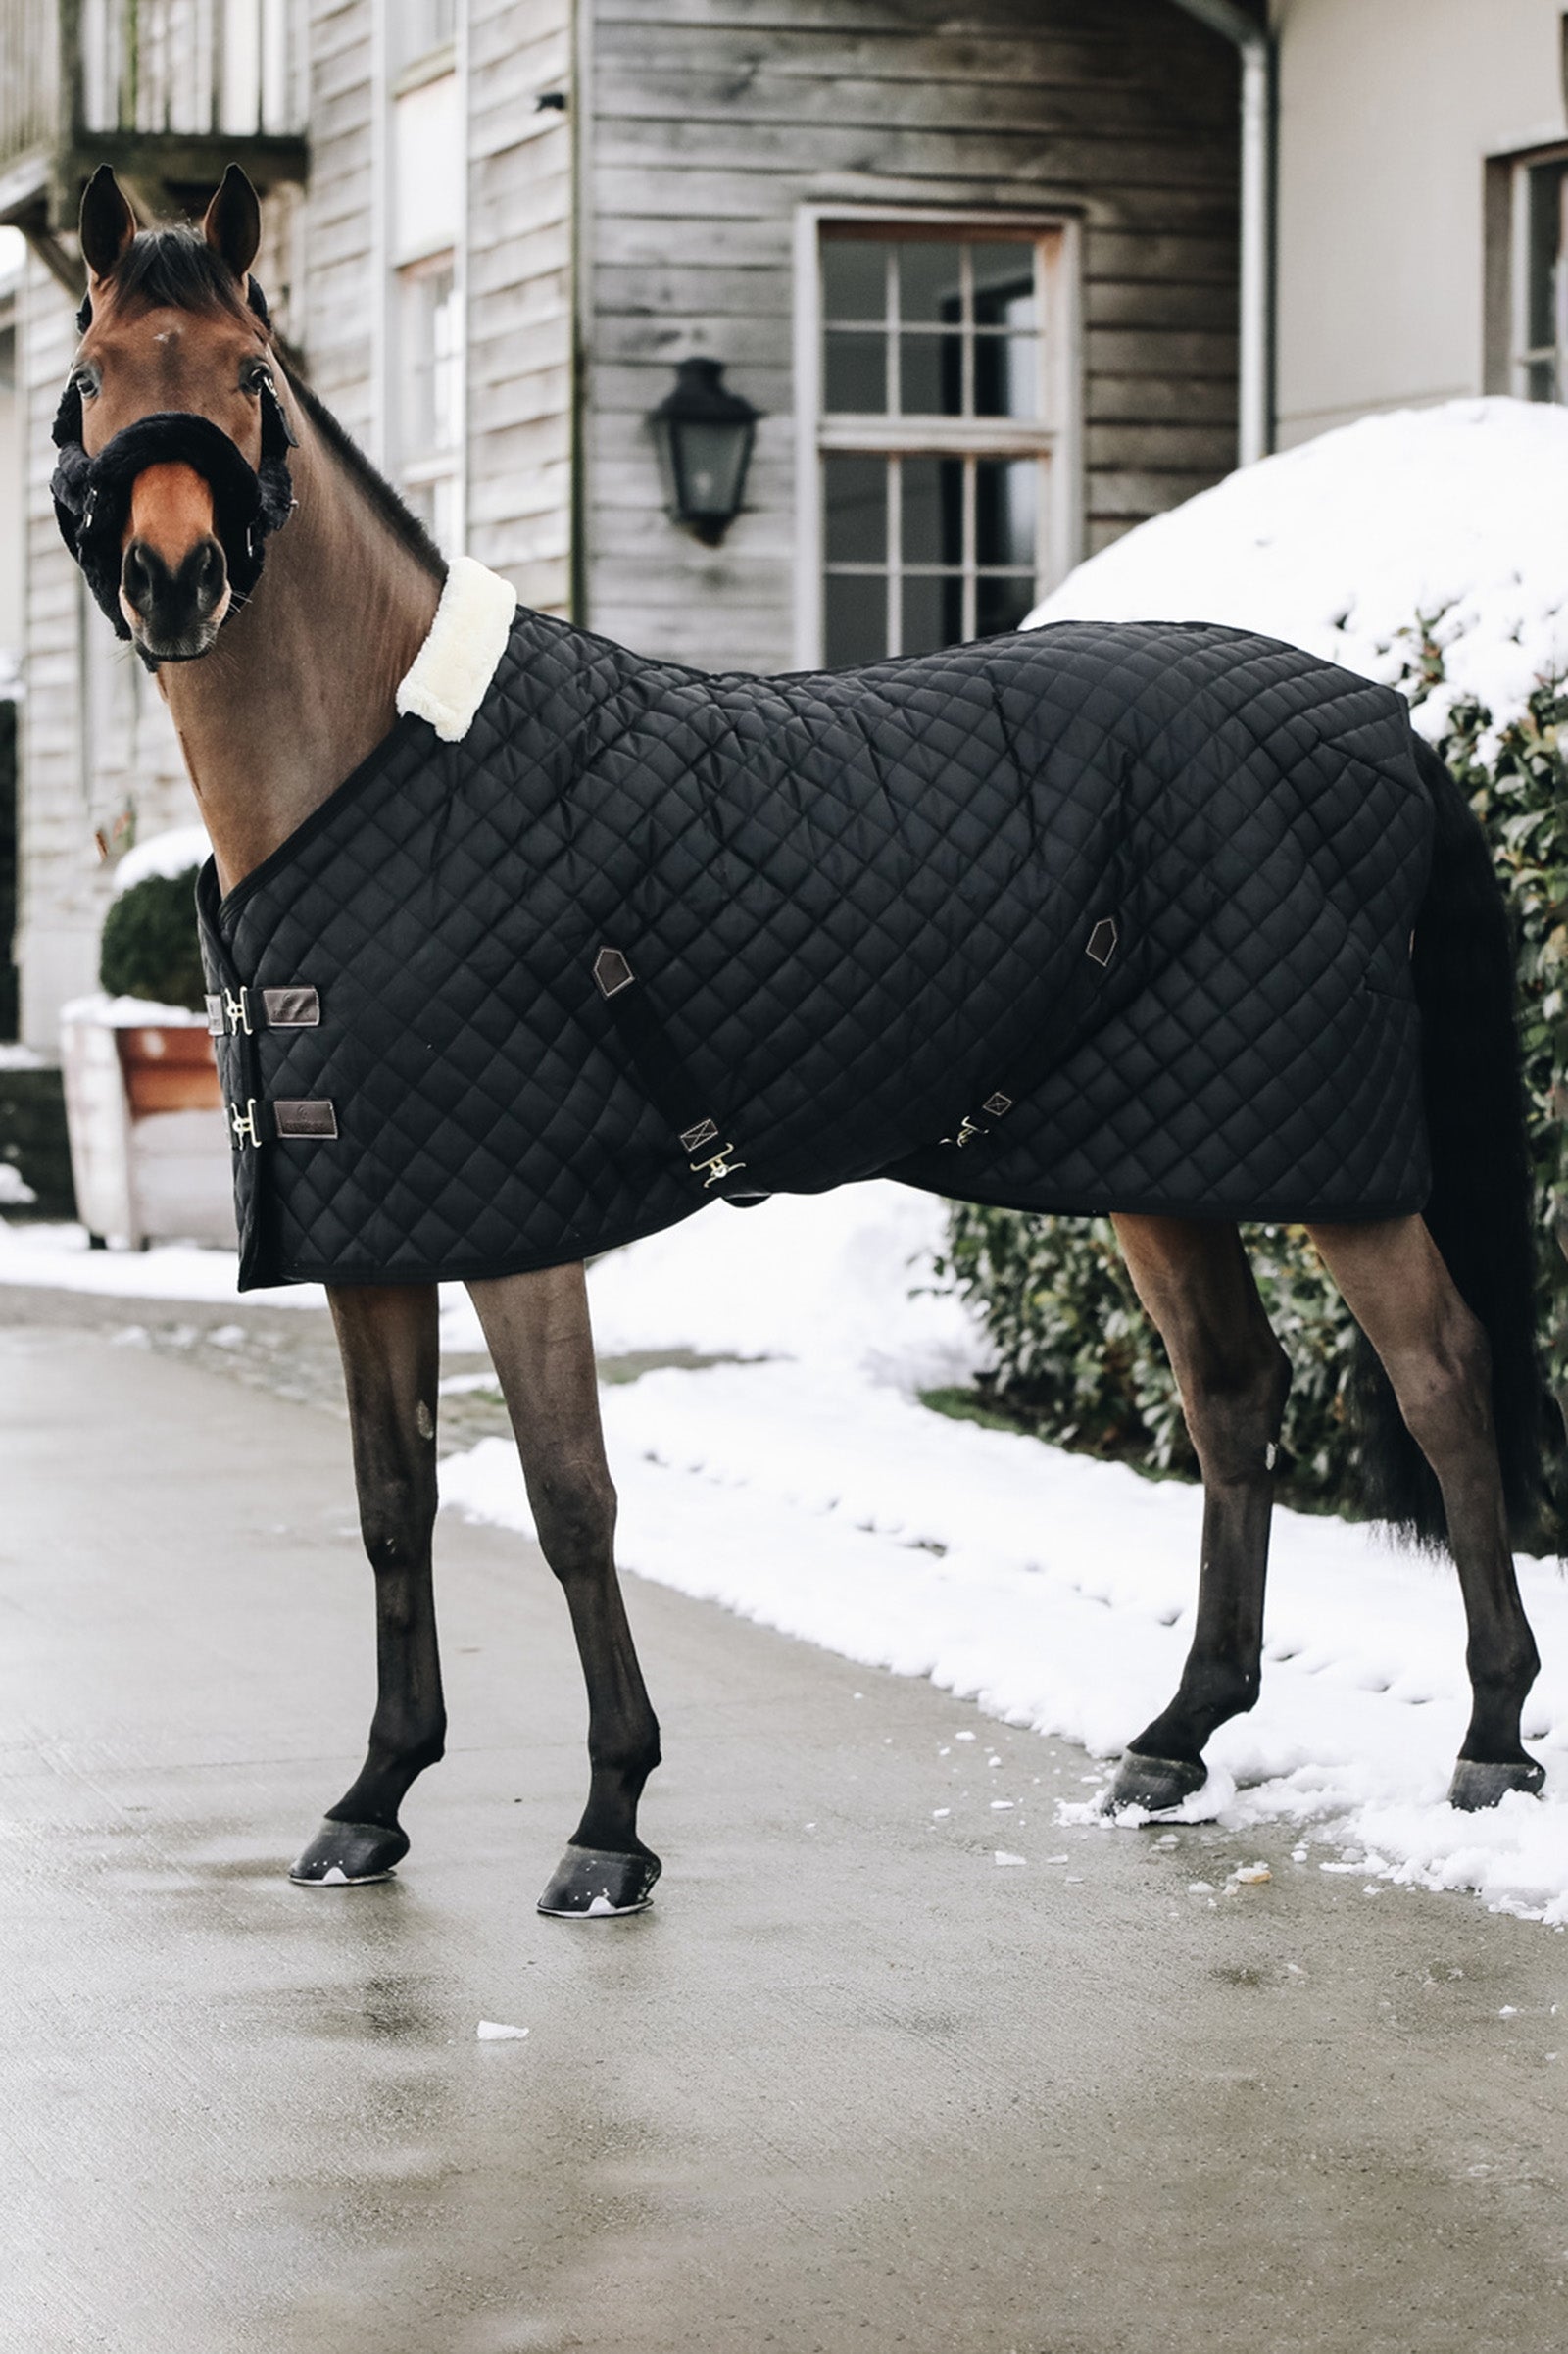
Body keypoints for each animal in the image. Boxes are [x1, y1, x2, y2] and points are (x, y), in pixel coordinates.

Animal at [50, 163, 1550, 1916]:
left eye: (251, 379)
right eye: (93, 379)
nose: (174, 578)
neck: (386, 763)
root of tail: (1386, 723)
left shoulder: (518, 1234)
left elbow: (568, 1499)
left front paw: (610, 1820)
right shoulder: (377, 1235)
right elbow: (391, 1502)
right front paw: (374, 1798)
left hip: (1334, 1169)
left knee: (1442, 1376)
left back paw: (1493, 1739)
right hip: (1170, 1158)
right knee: (1235, 1392)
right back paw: (1179, 1735)